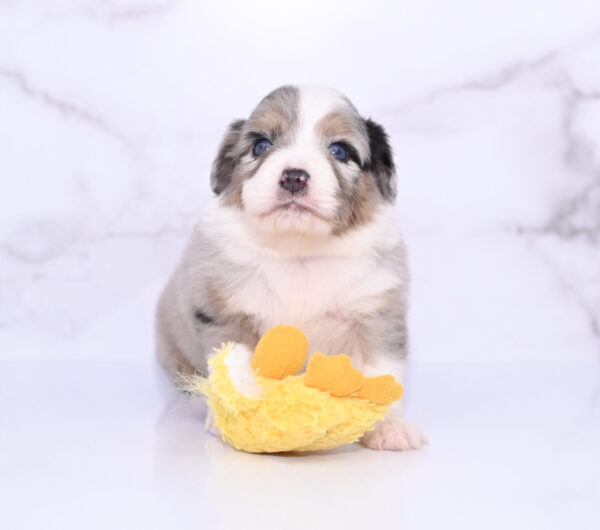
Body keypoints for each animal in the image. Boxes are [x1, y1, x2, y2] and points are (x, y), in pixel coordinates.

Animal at [155, 84, 426, 448]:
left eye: (340, 151)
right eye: (261, 145)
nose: (294, 177)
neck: (298, 251)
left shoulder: (377, 314)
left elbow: (381, 375)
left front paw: (388, 427)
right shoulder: (225, 313)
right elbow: (237, 364)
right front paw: (241, 414)